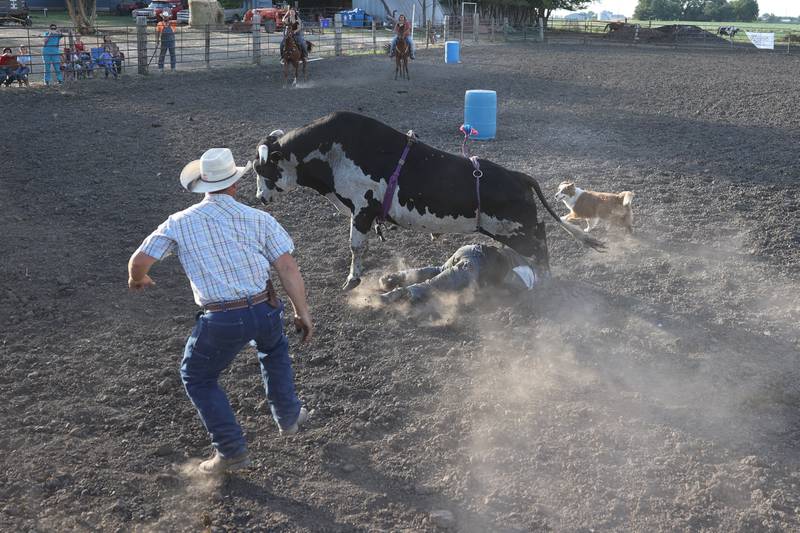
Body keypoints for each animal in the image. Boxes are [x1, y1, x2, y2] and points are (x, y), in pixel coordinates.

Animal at [253, 111, 604, 290]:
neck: (331, 148)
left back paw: (545, 276)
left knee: (541, 238)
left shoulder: (362, 210)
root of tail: (518, 176)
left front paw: (353, 278)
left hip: (517, 229)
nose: (259, 197)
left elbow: (355, 247)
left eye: (262, 168)